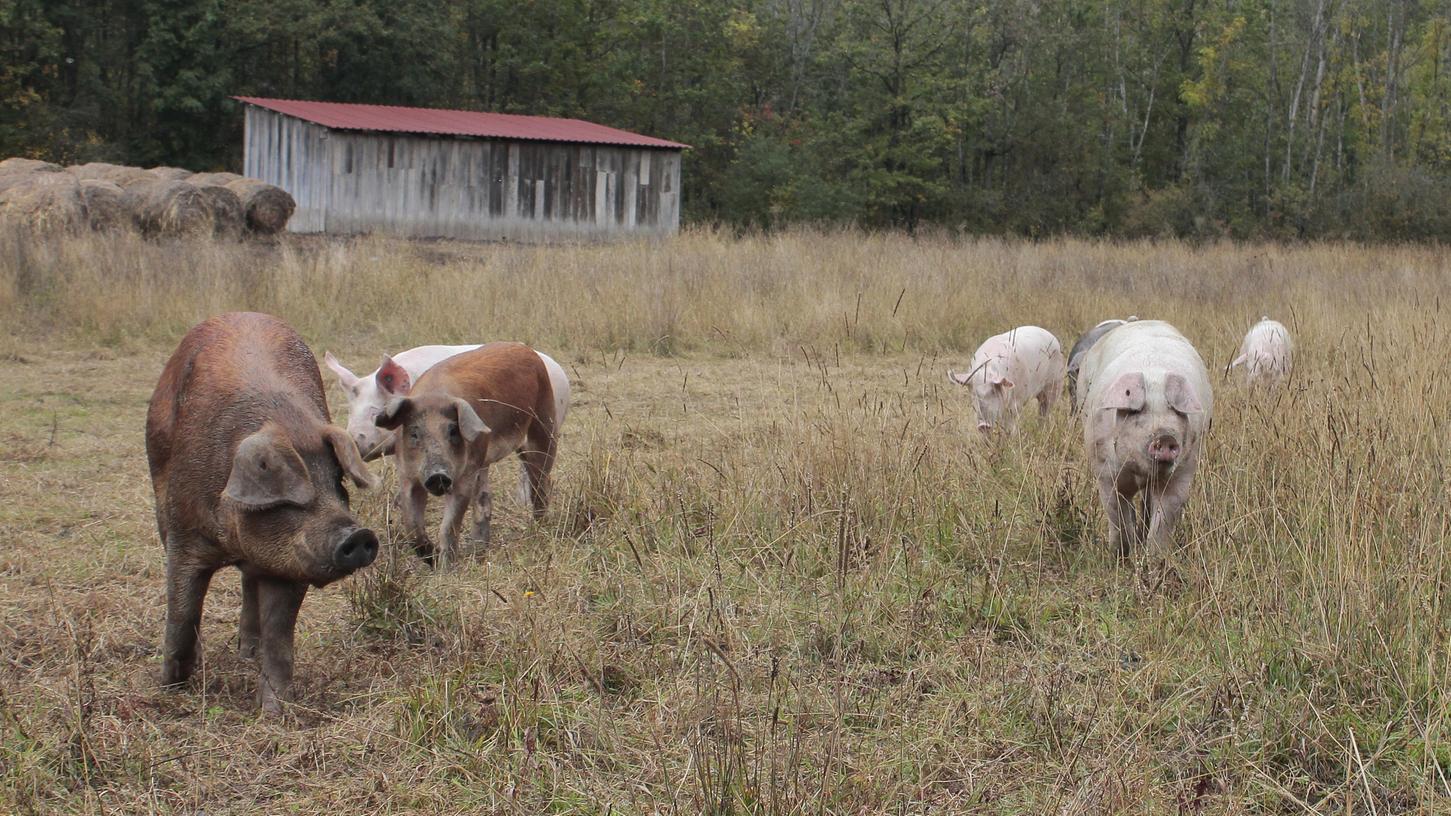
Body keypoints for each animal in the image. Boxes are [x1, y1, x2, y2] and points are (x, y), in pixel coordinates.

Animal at [142, 310, 374, 711]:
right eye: (289, 497)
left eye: (338, 484)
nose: (358, 535)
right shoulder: (184, 535)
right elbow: (183, 613)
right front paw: (171, 688)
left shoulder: (289, 563)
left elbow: (280, 636)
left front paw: (276, 711)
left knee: (249, 585)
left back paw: (247, 655)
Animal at [374, 339, 560, 563]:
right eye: (414, 433)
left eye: (453, 430)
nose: (438, 475)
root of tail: (525, 348)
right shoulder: (407, 475)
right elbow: (412, 526)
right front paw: (432, 558)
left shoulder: (465, 476)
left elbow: (448, 527)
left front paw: (445, 567)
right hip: (486, 459)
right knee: (484, 501)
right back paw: (478, 549)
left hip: (544, 428)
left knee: (540, 485)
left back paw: (538, 528)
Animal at [1079, 317, 1213, 557]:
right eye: (1136, 412)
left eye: (1175, 411)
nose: (1166, 436)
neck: (1140, 471)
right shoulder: (1105, 472)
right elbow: (1116, 515)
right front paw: (1119, 555)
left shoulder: (1182, 473)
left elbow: (1163, 521)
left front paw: (1154, 558)